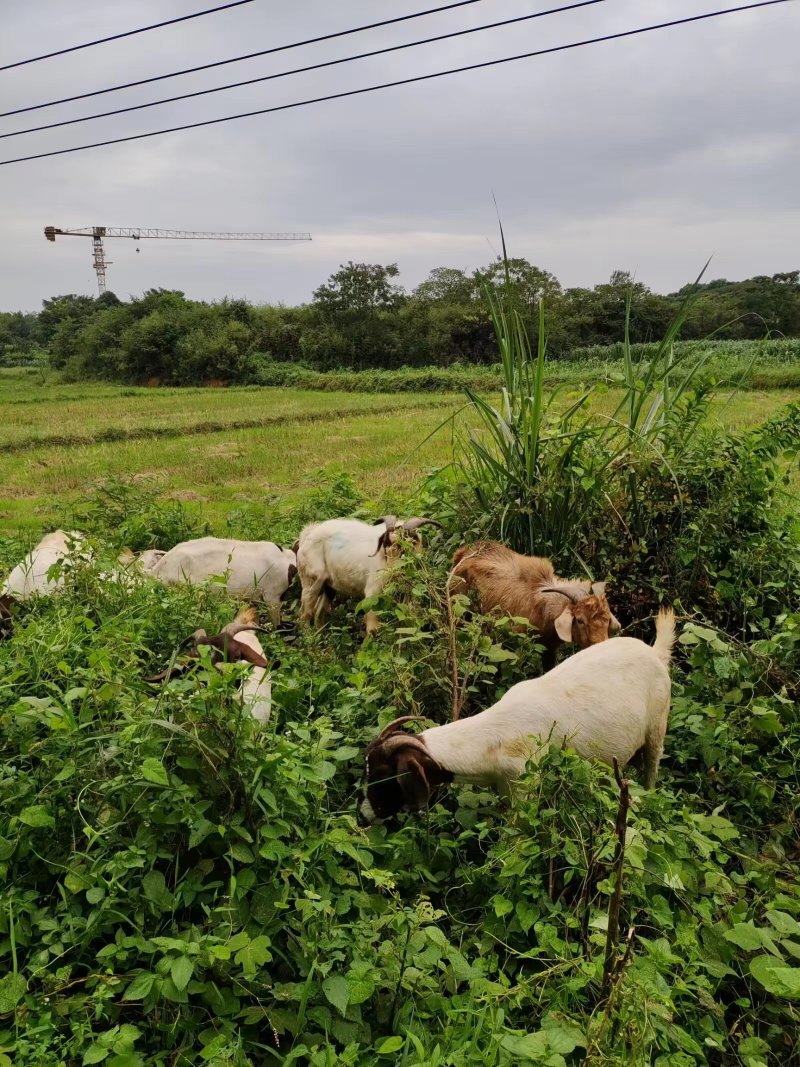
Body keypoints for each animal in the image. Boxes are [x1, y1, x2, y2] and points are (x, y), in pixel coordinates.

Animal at [296, 516, 441, 631]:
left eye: (403, 548)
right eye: (386, 546)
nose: (390, 573)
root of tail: (306, 536)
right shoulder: (373, 591)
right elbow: (372, 626)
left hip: (328, 586)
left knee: (318, 613)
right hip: (312, 580)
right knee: (305, 612)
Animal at [362, 606, 678, 819]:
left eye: (383, 775)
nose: (365, 814)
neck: (495, 738)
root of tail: (655, 652)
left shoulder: (525, 788)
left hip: (657, 725)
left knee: (652, 765)